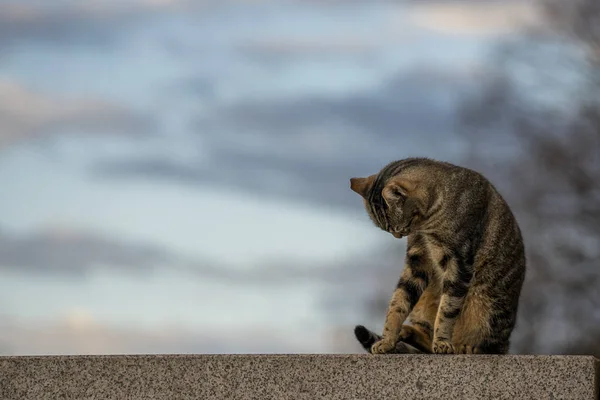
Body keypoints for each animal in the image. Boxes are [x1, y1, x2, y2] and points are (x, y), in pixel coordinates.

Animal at [352, 158, 524, 354]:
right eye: (389, 229)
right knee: (426, 340)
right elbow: (398, 302)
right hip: (424, 301)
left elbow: (447, 309)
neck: (426, 225)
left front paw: (442, 341)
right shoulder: (418, 261)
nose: (397, 236)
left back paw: (465, 347)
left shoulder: (459, 262)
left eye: (397, 227)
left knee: (488, 346)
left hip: (488, 308)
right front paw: (388, 339)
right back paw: (407, 332)